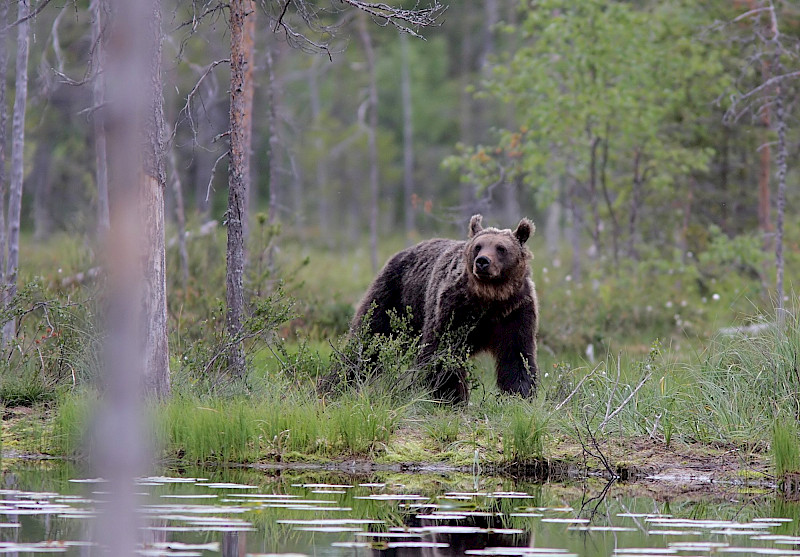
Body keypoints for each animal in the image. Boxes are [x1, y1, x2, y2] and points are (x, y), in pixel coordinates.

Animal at [348, 214, 536, 404]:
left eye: (501, 248)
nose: (482, 261)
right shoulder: (453, 307)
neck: (490, 298)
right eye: (478, 246)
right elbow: (442, 350)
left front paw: (520, 394)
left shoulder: (515, 311)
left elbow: (517, 356)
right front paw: (451, 396)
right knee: (370, 337)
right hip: (394, 297)